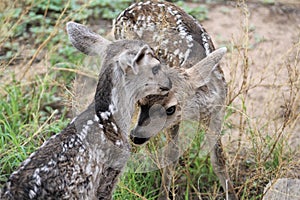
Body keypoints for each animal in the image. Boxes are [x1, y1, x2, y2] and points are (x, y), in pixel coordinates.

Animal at [113, 0, 238, 199]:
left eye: (170, 108)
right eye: (141, 102)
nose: (136, 137)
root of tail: (126, 11)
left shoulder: (218, 111)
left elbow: (219, 160)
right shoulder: (174, 123)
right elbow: (170, 156)